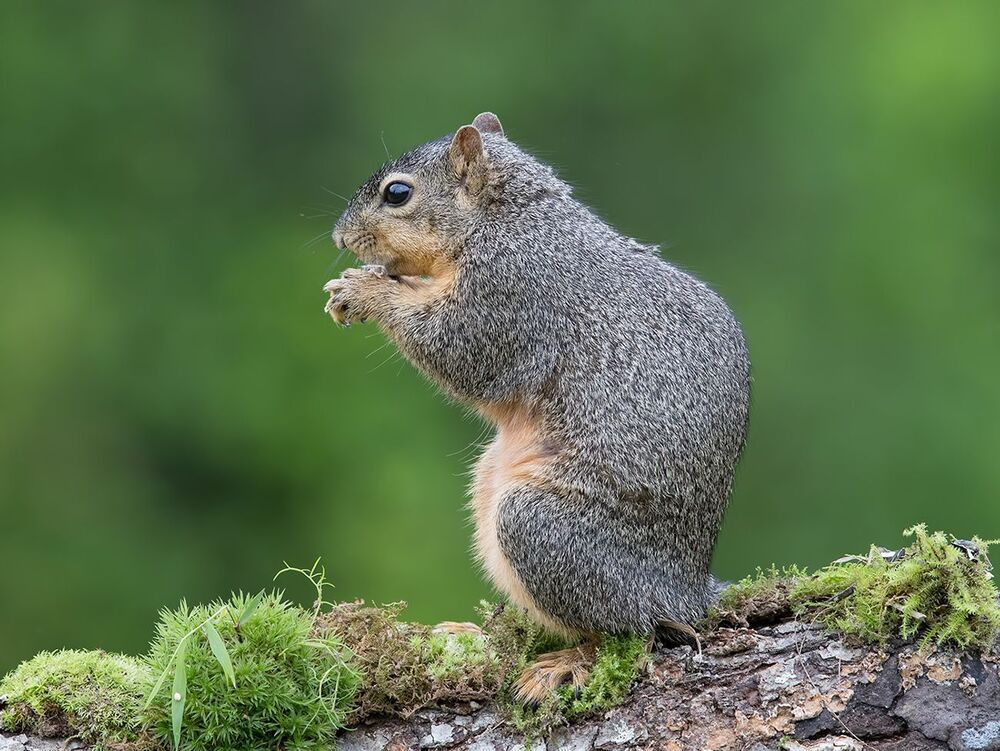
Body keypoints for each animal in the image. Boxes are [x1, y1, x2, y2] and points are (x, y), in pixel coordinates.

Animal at [324, 112, 751, 703]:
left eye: (398, 193)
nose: (340, 237)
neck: (510, 218)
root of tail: (686, 590)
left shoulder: (512, 292)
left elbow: (459, 348)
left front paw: (365, 290)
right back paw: (475, 634)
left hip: (539, 528)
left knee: (631, 631)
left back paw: (567, 663)